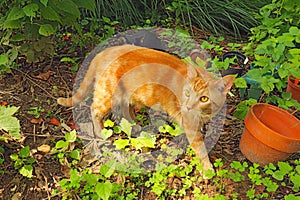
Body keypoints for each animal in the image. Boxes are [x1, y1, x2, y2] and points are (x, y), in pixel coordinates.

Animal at [58, 45, 234, 170]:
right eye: (187, 93)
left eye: (204, 98)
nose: (188, 106)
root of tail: (104, 51)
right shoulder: (190, 125)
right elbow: (200, 148)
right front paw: (207, 168)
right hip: (107, 95)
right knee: (94, 110)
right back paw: (100, 132)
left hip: (127, 95)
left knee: (125, 111)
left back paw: (135, 126)